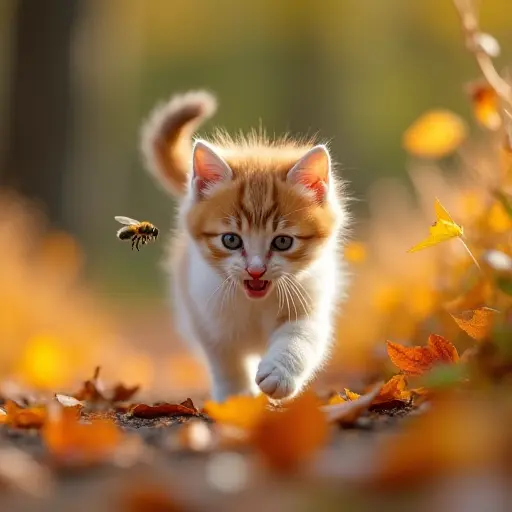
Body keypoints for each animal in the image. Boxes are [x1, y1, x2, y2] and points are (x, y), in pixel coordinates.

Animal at [141, 93, 348, 404]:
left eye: (283, 241)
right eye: (231, 240)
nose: (256, 269)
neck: (255, 304)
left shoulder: (311, 300)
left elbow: (302, 336)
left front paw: (280, 372)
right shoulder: (203, 313)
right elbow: (225, 358)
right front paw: (235, 397)